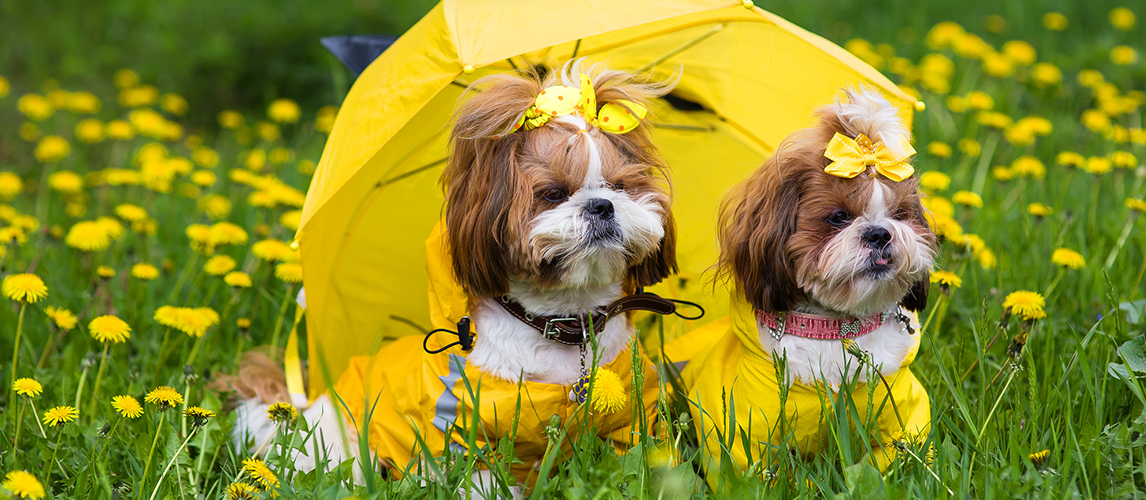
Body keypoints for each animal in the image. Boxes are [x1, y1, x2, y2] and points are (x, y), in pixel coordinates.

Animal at [228, 62, 683, 495]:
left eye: (620, 186)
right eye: (553, 193)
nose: (602, 205)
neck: (564, 325)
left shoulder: (630, 425)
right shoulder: (469, 438)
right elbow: (485, 482)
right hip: (339, 439)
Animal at [673, 86, 935, 479]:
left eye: (900, 215)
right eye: (838, 217)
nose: (880, 233)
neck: (833, 329)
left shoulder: (902, 419)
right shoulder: (747, 433)